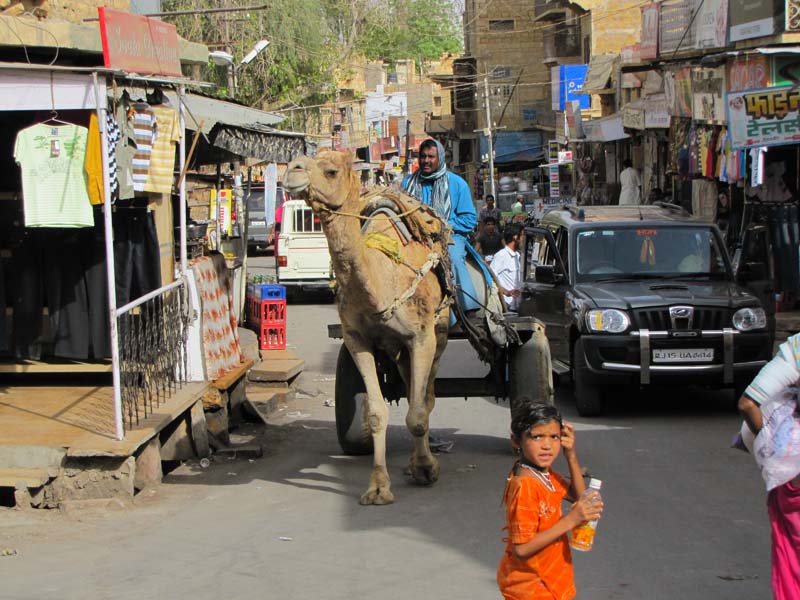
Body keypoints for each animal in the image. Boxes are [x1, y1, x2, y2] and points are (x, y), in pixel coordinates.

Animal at [286, 149, 450, 502]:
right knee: (411, 387)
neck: (381, 279)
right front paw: (378, 487)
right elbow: (376, 413)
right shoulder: (357, 339)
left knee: (427, 396)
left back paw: (422, 461)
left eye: (330, 171)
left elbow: (419, 411)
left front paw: (426, 469)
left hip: (440, 331)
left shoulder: (422, 337)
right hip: (398, 349)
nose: (291, 171)